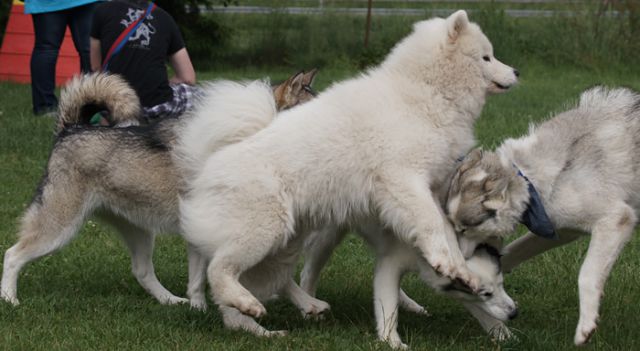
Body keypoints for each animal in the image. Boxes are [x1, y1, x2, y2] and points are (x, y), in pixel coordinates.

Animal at [0, 70, 318, 310]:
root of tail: (70, 129)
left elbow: (208, 279)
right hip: (58, 228)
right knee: (12, 255)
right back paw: (9, 299)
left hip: (139, 231)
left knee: (142, 272)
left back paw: (171, 301)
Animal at [302, 223, 516, 350]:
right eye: (486, 293)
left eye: (502, 284)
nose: (515, 313)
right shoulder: (390, 263)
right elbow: (388, 306)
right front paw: (391, 341)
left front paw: (501, 332)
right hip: (328, 234)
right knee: (308, 273)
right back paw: (309, 305)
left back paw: (411, 305)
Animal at [444, 86, 640, 346]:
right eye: (453, 225)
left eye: (465, 228)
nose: (456, 263)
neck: (534, 178)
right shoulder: (562, 230)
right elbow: (511, 253)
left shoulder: (616, 219)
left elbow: (587, 275)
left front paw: (586, 326)